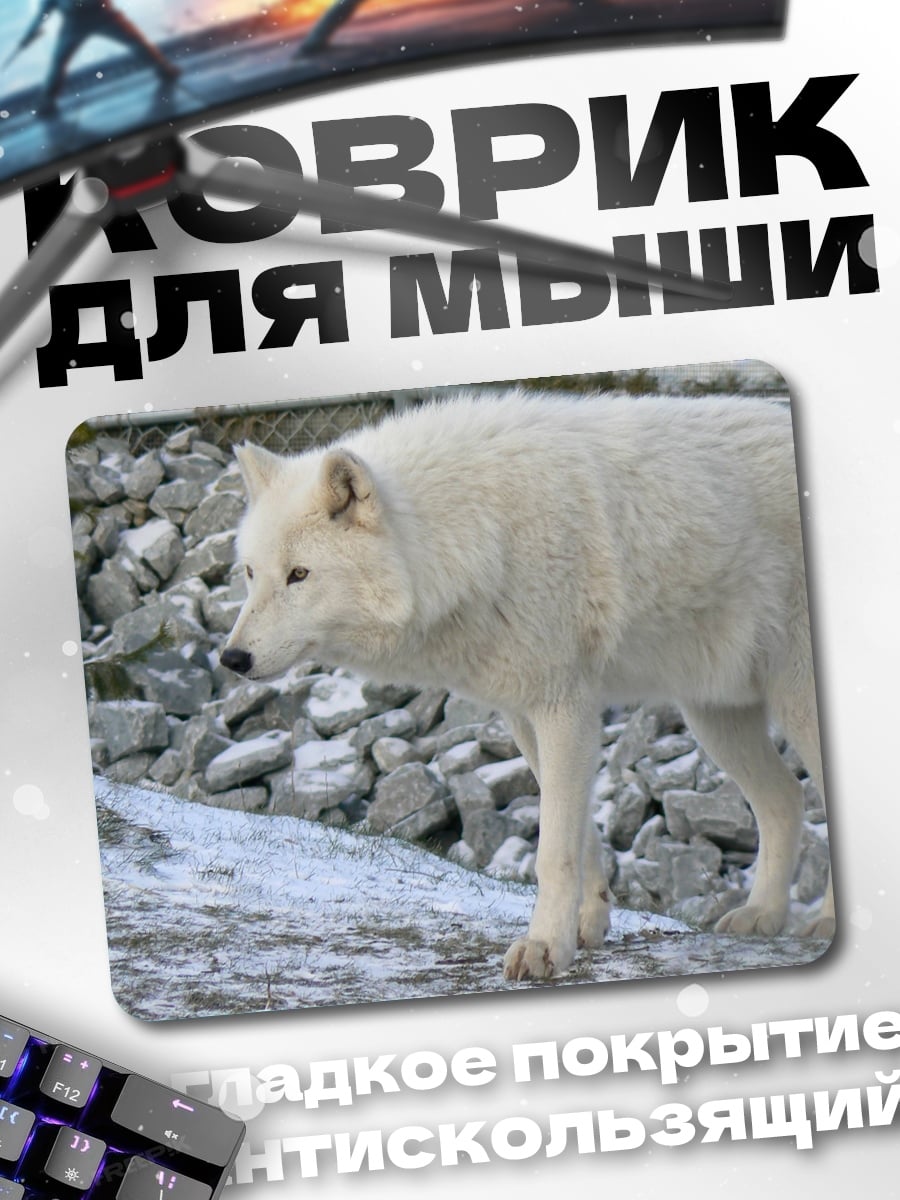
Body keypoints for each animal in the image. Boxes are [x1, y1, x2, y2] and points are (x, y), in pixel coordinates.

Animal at [221, 391, 833, 981]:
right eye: (251, 573)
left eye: (300, 575)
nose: (232, 657)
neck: (475, 534)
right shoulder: (526, 714)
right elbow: (581, 838)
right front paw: (585, 927)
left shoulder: (565, 707)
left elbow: (552, 850)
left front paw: (543, 949)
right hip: (714, 716)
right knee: (786, 799)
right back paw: (761, 914)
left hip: (793, 705)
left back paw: (823, 921)